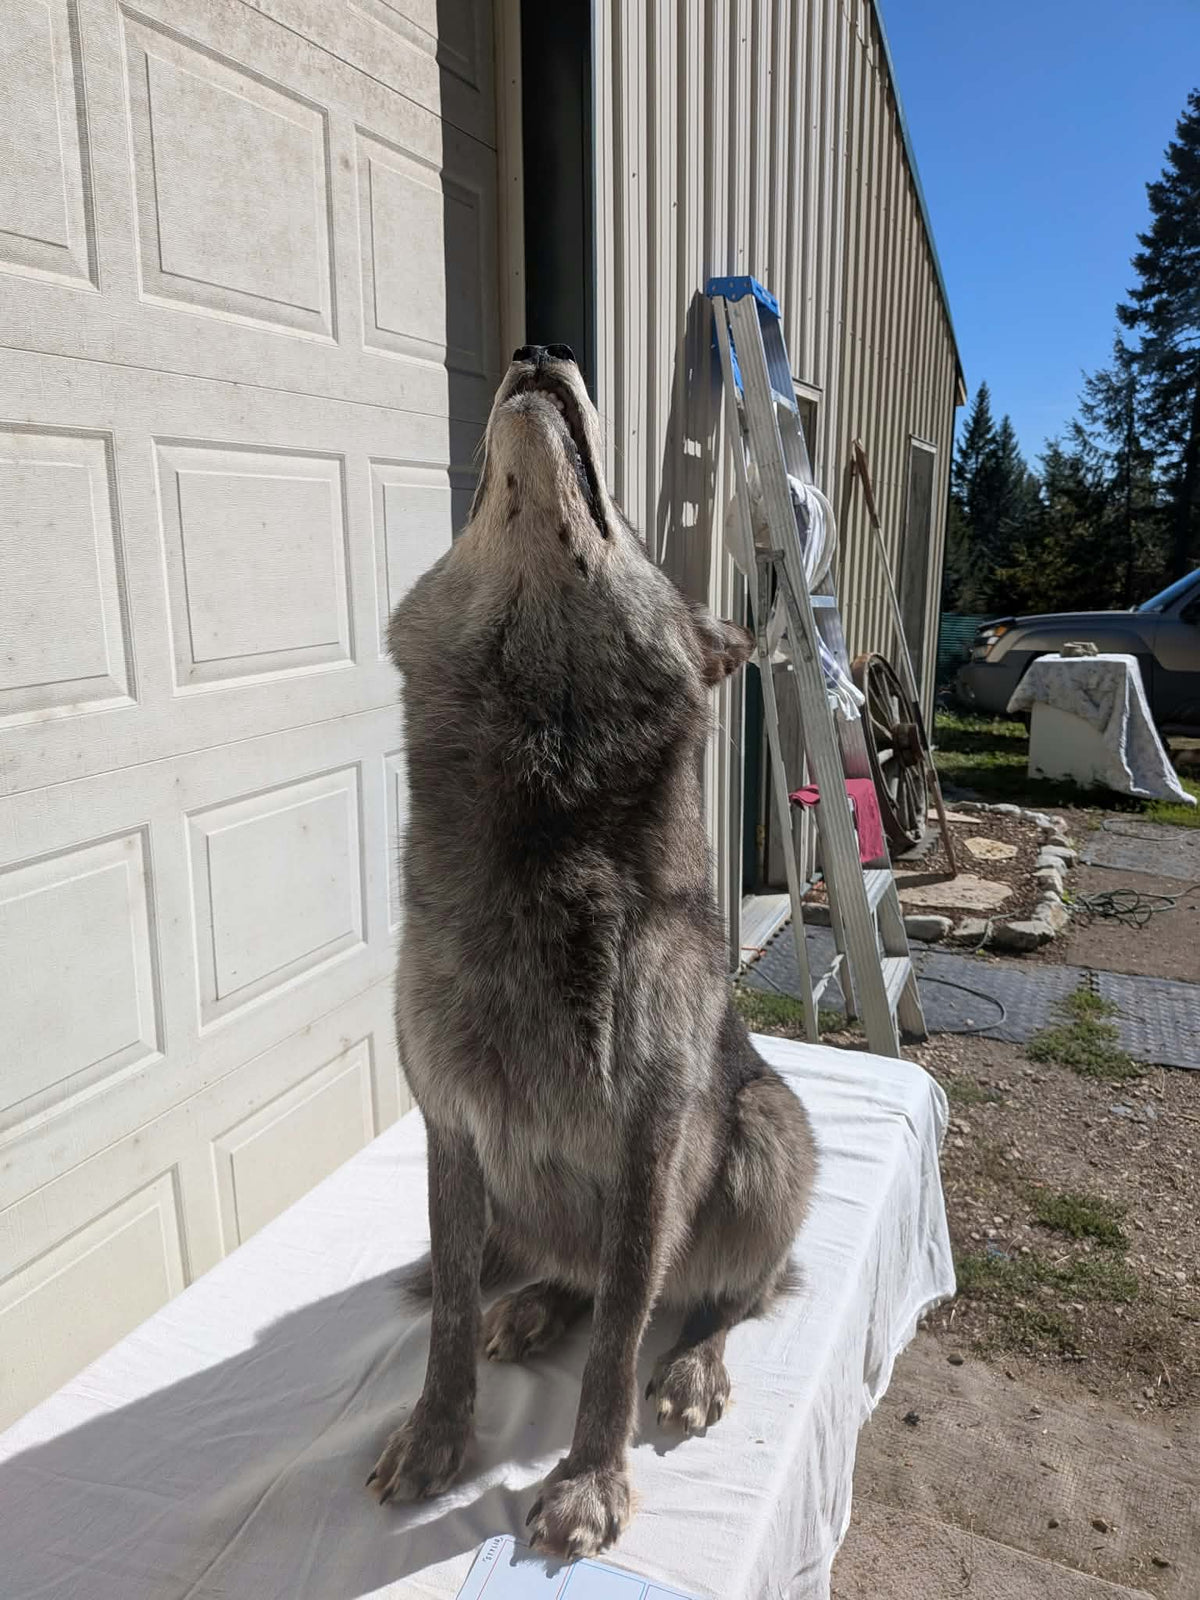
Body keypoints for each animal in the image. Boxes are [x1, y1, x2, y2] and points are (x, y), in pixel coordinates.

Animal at [369, 343, 817, 1560]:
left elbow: (622, 1330)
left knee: (733, 1290)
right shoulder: (450, 1126)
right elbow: (453, 1312)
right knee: (565, 1271)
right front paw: (436, 1436)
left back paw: (698, 1363)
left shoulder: (653, 1135)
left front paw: (587, 1481)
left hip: (767, 1133)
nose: (538, 350)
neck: (546, 823)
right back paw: (533, 1304)